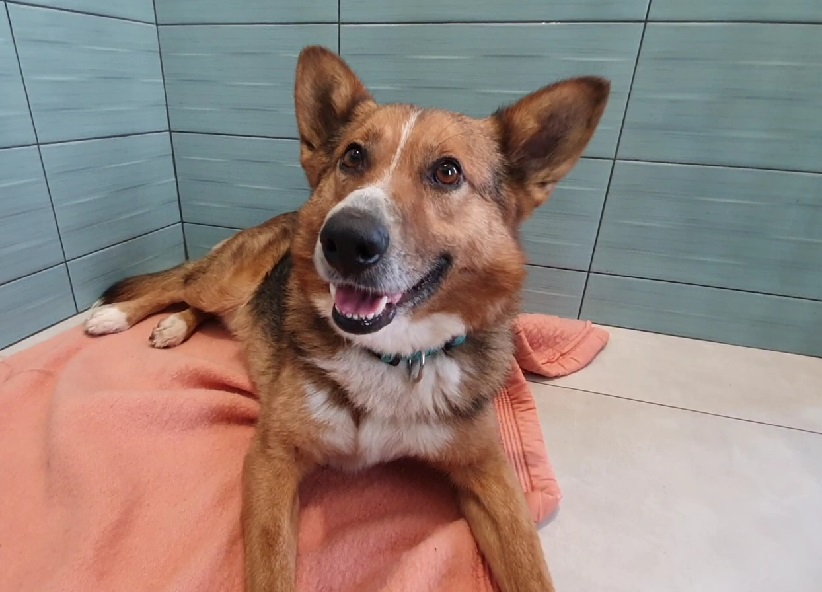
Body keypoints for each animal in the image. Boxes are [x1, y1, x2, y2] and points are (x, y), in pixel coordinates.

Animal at [85, 44, 612, 588]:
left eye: (448, 171)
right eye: (353, 156)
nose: (344, 239)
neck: (393, 355)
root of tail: (284, 217)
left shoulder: (488, 471)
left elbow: (529, 568)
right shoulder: (271, 457)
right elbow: (270, 569)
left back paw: (171, 327)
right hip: (220, 282)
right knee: (177, 285)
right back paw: (118, 316)